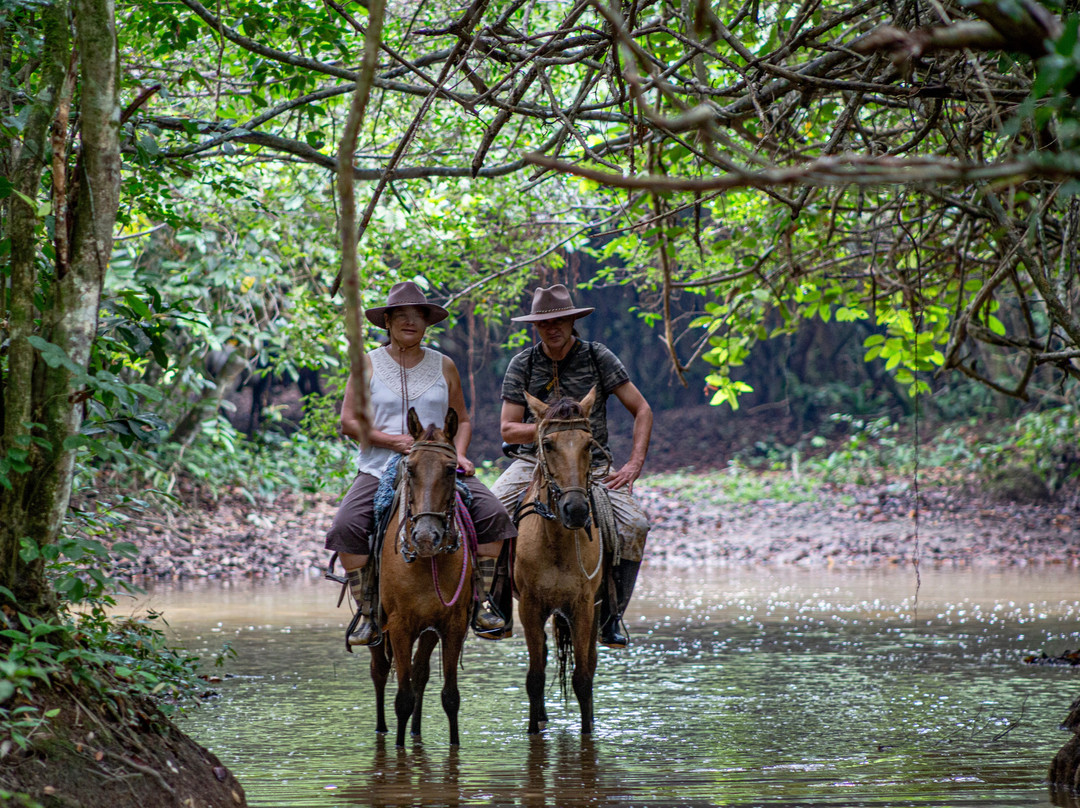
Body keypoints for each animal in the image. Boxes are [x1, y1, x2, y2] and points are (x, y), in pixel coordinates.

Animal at [369, 406, 475, 747]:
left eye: (452, 470)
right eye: (411, 469)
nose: (427, 537)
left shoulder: (453, 624)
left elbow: (450, 696)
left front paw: (454, 746)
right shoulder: (399, 626)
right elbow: (402, 697)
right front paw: (399, 750)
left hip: (428, 629)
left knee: (420, 673)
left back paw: (416, 731)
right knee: (379, 669)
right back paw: (382, 729)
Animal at [511, 388, 600, 734]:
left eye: (589, 445)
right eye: (547, 445)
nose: (575, 510)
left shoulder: (584, 606)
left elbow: (583, 678)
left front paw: (589, 731)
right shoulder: (530, 606)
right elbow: (534, 678)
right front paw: (534, 730)